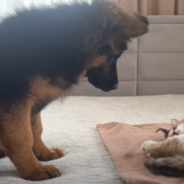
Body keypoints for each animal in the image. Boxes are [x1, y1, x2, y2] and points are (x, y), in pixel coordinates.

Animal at [0, 0, 148, 181]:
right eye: (113, 56)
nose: (115, 86)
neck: (61, 44)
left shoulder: (32, 102)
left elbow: (36, 129)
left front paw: (43, 153)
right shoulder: (15, 101)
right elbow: (22, 137)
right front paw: (33, 169)